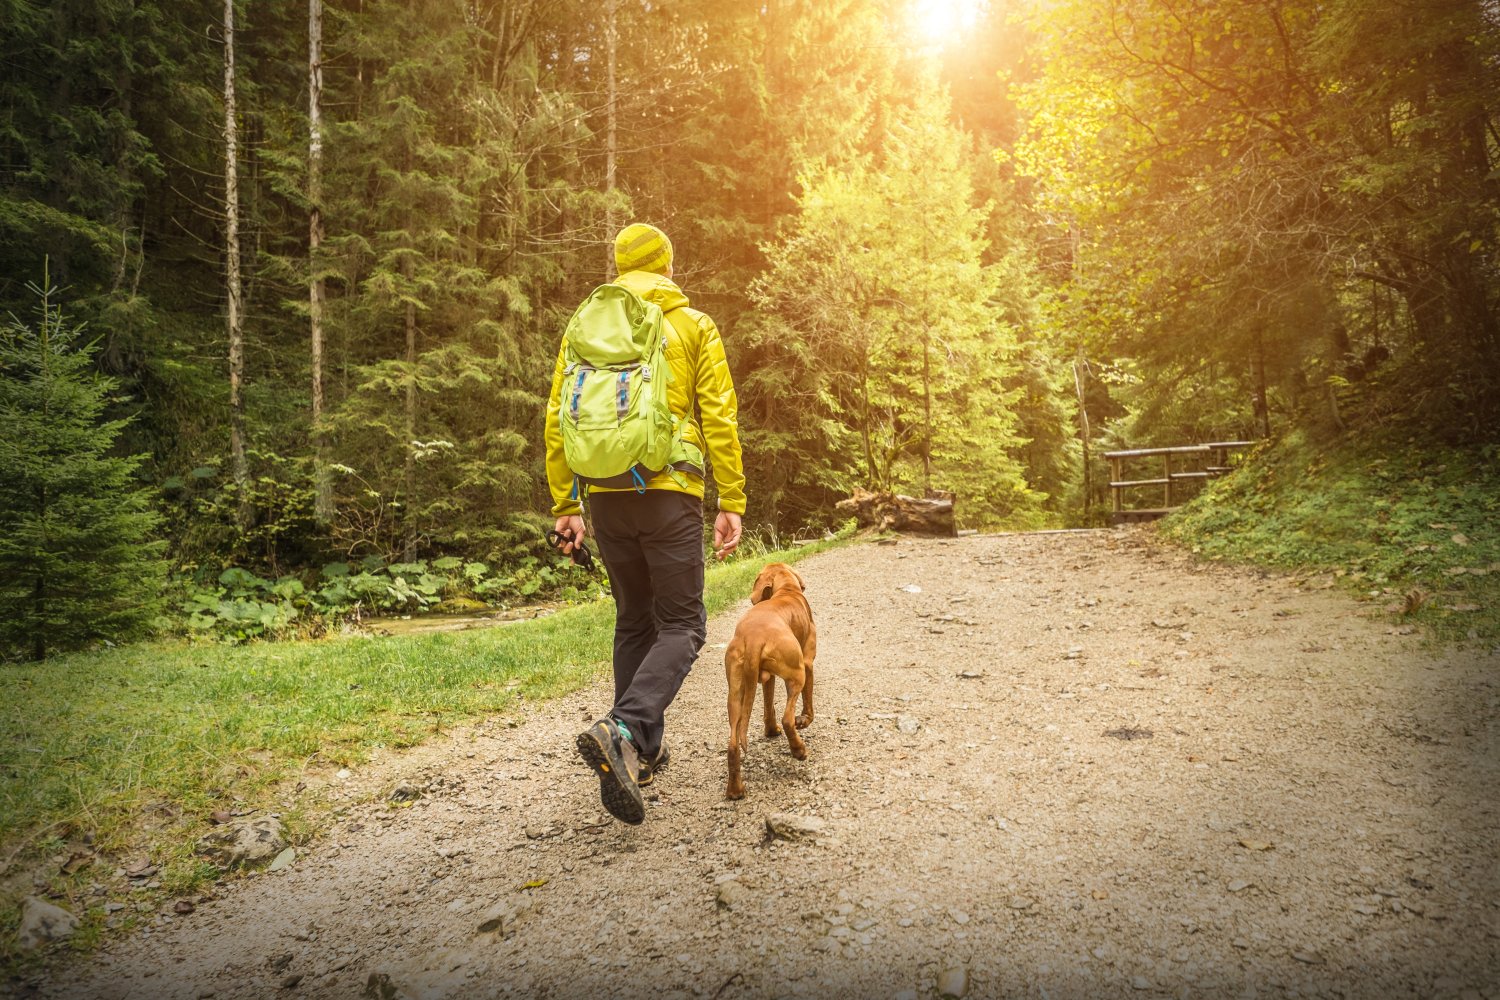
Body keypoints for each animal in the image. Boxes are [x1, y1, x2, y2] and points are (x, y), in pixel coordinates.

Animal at [720, 560, 816, 803]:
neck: (787, 590)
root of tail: (753, 637)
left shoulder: (767, 678)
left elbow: (768, 705)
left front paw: (770, 731)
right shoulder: (808, 663)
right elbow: (808, 706)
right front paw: (804, 720)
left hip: (736, 693)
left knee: (733, 744)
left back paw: (735, 790)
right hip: (797, 674)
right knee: (787, 719)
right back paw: (798, 750)